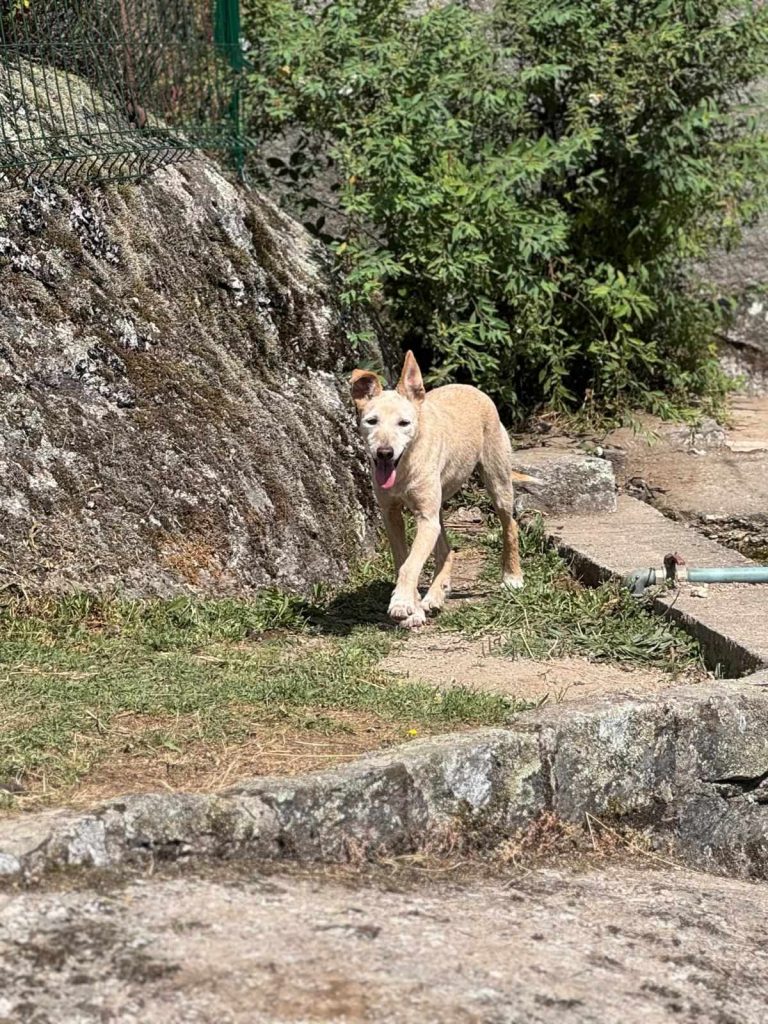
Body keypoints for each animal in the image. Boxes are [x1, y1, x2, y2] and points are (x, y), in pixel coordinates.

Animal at [351, 351, 539, 629]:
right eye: (371, 421)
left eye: (404, 423)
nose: (385, 452)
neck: (405, 465)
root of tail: (470, 387)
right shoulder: (391, 515)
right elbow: (403, 560)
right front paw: (413, 607)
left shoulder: (425, 520)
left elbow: (411, 564)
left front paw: (402, 603)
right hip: (438, 506)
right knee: (446, 550)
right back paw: (435, 595)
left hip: (497, 481)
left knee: (510, 526)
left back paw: (512, 576)